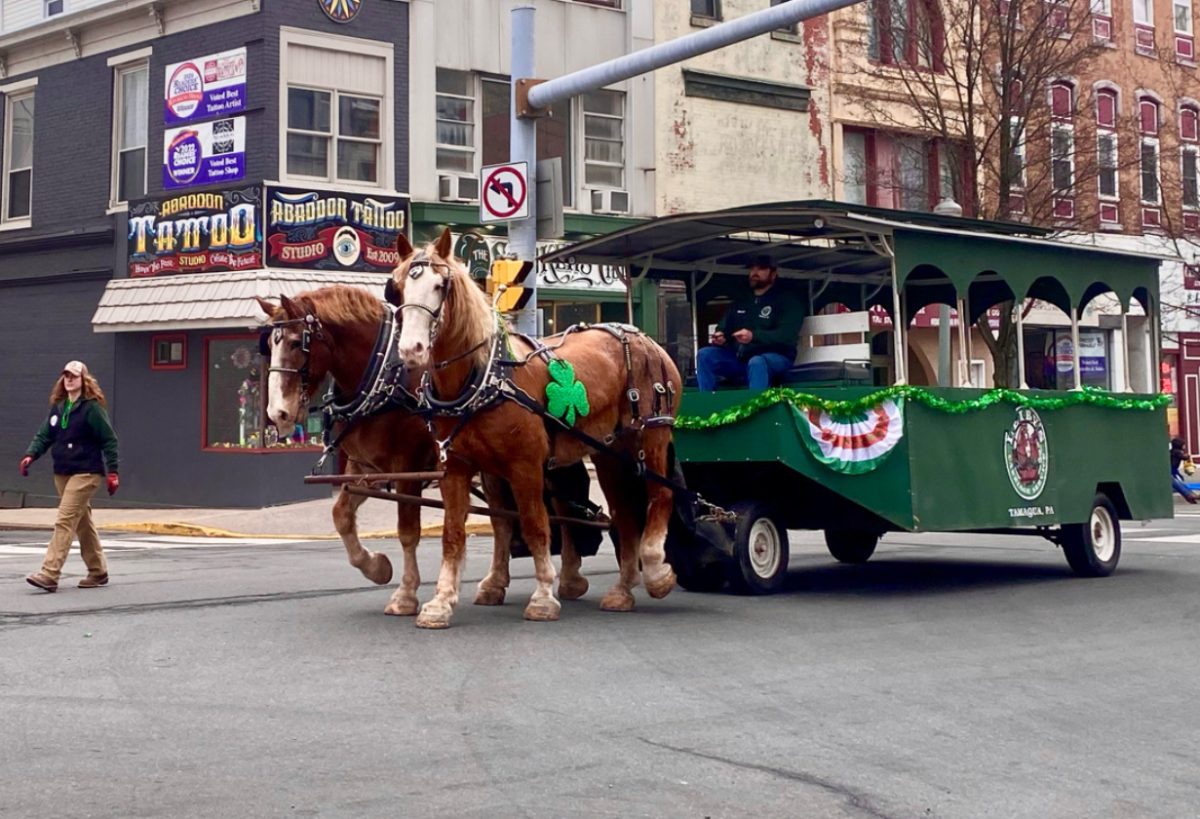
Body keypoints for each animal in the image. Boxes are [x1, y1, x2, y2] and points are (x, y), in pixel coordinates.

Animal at [255, 285, 518, 612]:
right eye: (269, 345)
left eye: (295, 342)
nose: (277, 413)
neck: (384, 378)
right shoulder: (365, 467)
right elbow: (341, 515)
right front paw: (376, 567)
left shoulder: (408, 466)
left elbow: (407, 531)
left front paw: (405, 594)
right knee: (502, 518)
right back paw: (495, 583)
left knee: (501, 519)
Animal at [393, 228, 686, 624]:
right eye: (397, 288)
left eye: (441, 285)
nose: (412, 349)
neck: (485, 378)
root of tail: (644, 338)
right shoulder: (456, 468)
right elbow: (454, 533)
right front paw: (440, 603)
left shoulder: (526, 466)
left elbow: (535, 526)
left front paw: (544, 595)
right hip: (610, 453)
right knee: (625, 517)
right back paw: (623, 590)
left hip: (653, 432)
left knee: (660, 496)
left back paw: (655, 570)